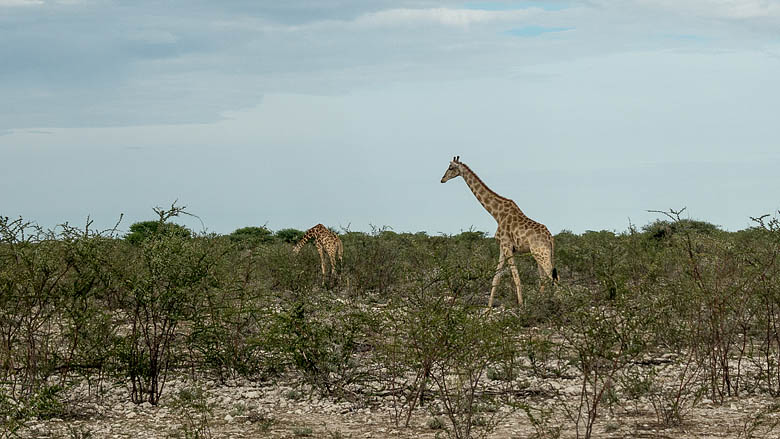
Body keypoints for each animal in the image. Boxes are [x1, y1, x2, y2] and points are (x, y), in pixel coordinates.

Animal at [442, 156, 556, 308]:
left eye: (450, 167)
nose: (442, 179)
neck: (497, 214)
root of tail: (550, 238)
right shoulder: (502, 247)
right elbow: (495, 279)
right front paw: (488, 308)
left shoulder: (507, 246)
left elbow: (516, 277)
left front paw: (521, 305)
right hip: (539, 255)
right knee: (545, 279)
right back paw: (543, 302)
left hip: (541, 254)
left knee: (554, 278)